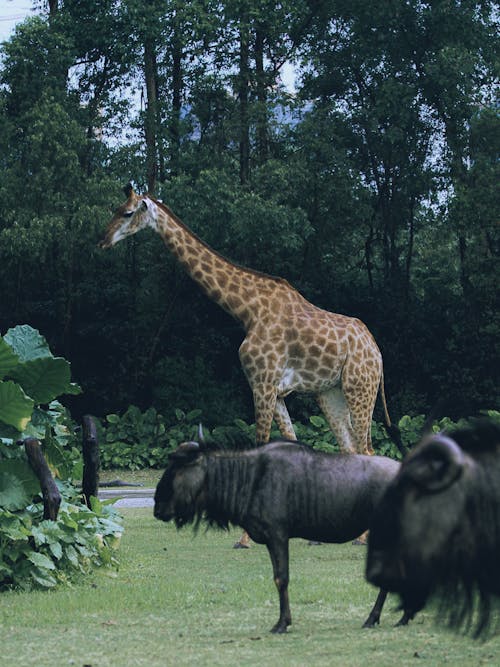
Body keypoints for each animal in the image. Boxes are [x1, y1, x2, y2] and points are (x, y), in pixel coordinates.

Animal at [98, 185, 394, 540]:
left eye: (127, 212)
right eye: (116, 209)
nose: (102, 240)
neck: (247, 311)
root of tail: (376, 350)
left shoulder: (262, 383)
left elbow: (260, 447)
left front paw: (246, 537)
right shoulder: (275, 390)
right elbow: (290, 444)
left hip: (360, 387)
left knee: (367, 449)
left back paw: (363, 536)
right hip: (330, 393)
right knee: (350, 447)